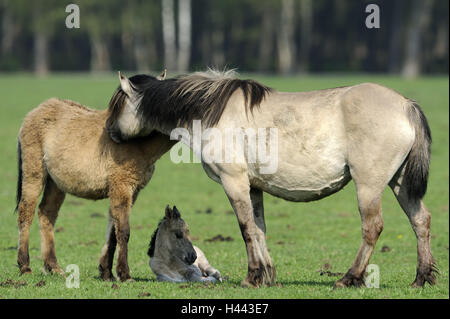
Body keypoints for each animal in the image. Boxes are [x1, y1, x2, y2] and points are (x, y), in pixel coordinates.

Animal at [15, 71, 176, 282]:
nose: (111, 131)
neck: (139, 144)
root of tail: (35, 112)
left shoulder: (132, 191)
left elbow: (114, 231)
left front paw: (106, 272)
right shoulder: (121, 187)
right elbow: (123, 230)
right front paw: (124, 274)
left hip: (56, 183)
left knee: (46, 213)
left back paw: (53, 267)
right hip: (34, 174)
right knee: (26, 212)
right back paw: (25, 266)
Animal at [105, 70, 436, 290]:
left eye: (117, 103)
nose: (109, 131)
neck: (212, 111)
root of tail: (405, 104)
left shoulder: (234, 182)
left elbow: (246, 229)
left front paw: (252, 276)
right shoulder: (254, 188)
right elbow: (259, 229)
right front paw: (266, 276)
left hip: (369, 186)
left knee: (372, 227)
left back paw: (349, 278)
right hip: (400, 183)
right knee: (420, 221)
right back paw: (421, 278)